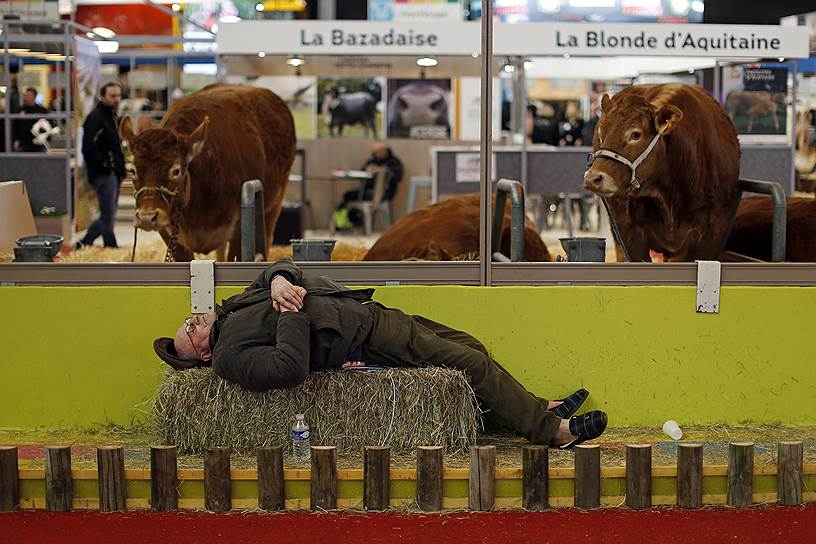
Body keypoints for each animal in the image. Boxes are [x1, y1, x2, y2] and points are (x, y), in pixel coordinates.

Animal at [118, 84, 296, 262]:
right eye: (132, 170)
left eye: (176, 170)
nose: (146, 217)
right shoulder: (168, 232)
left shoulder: (239, 229)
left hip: (274, 203)